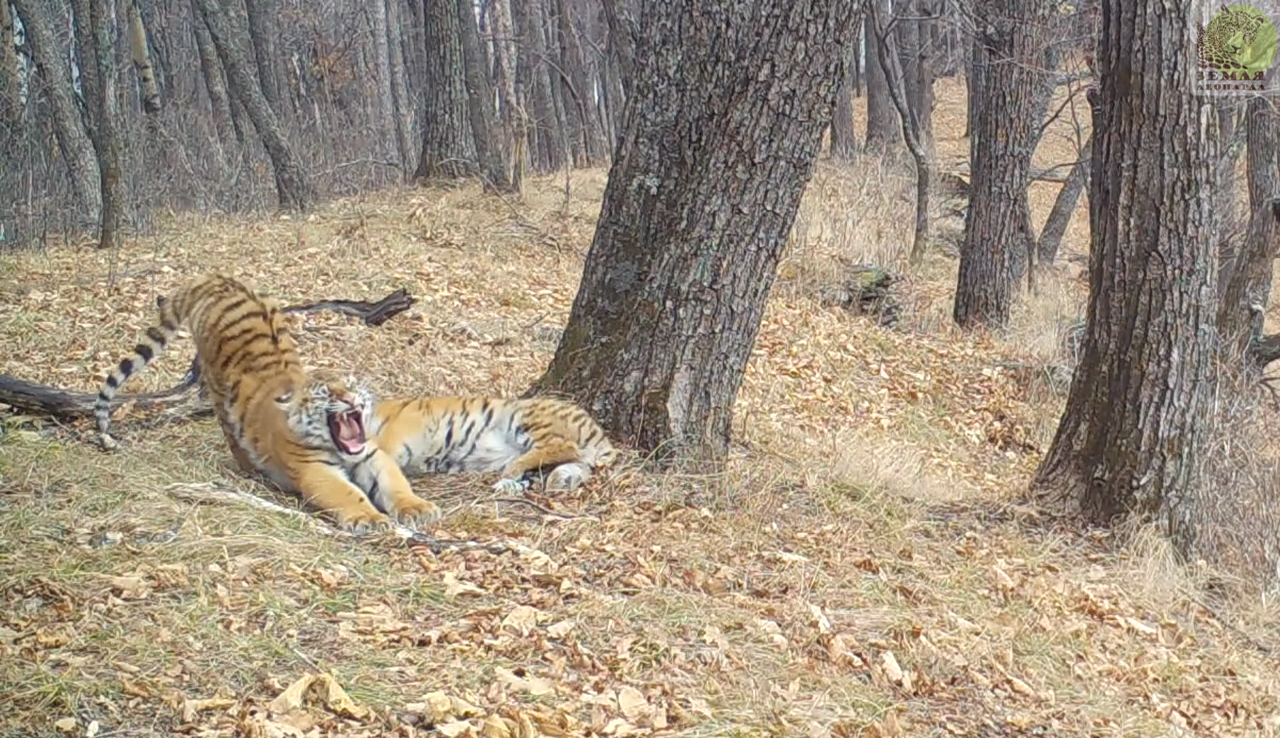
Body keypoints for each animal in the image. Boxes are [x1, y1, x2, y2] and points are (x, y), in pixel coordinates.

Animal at [92, 272, 442, 529]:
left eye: (352, 384)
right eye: (327, 393)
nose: (351, 398)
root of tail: (214, 278)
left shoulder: (372, 454)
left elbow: (395, 483)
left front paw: (417, 508)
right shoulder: (314, 470)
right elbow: (346, 494)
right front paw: (368, 518)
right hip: (216, 385)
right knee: (229, 429)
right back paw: (249, 467)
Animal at [368, 393, 616, 491]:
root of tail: (600, 434)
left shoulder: (394, 436)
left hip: (525, 417)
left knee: (561, 446)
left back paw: (511, 471)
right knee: (572, 463)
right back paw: (558, 481)